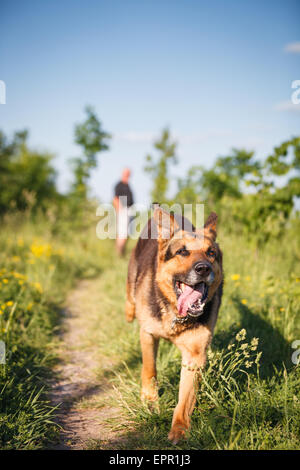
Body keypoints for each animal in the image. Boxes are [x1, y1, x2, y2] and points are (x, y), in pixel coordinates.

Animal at [125, 207, 223, 444]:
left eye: (211, 253)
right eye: (182, 252)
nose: (203, 269)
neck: (176, 314)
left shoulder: (195, 356)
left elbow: (185, 399)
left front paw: (179, 428)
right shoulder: (147, 334)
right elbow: (149, 369)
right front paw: (150, 400)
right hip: (132, 279)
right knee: (129, 297)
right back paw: (129, 311)